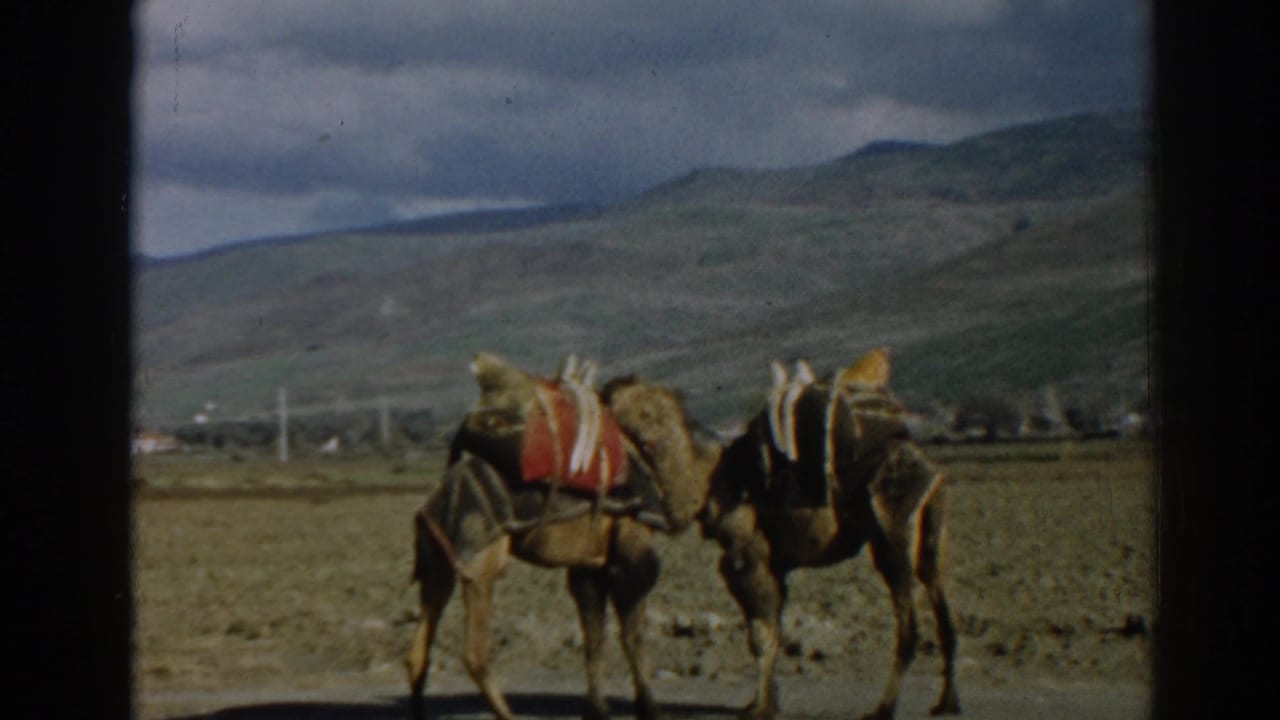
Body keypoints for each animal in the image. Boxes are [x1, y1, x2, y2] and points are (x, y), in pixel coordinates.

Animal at [405, 353, 706, 720]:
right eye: (660, 418)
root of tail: (428, 510)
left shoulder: (590, 564)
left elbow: (594, 635)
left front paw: (597, 709)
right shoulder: (631, 550)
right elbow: (632, 633)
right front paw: (650, 708)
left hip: (437, 565)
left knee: (417, 654)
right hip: (480, 564)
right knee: (473, 653)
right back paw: (508, 714)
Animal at [601, 348, 960, 720]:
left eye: (634, 407)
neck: (710, 483)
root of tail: (930, 472)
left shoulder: (747, 556)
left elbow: (761, 634)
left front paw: (759, 708)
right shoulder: (774, 562)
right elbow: (773, 627)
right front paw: (765, 701)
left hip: (891, 534)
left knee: (909, 625)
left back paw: (883, 708)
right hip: (932, 531)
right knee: (943, 608)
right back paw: (946, 702)